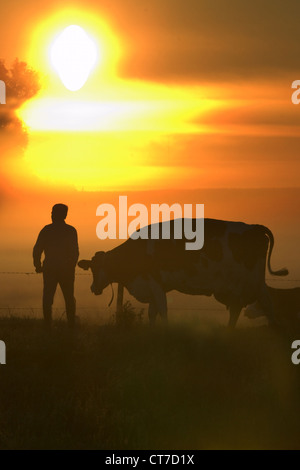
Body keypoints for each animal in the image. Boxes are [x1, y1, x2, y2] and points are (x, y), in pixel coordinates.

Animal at [78, 219, 288, 326]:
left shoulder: (155, 283)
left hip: (246, 283)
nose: (92, 288)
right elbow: (152, 313)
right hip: (249, 285)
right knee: (255, 307)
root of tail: (254, 227)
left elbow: (162, 311)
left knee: (254, 306)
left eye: (96, 268)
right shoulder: (154, 287)